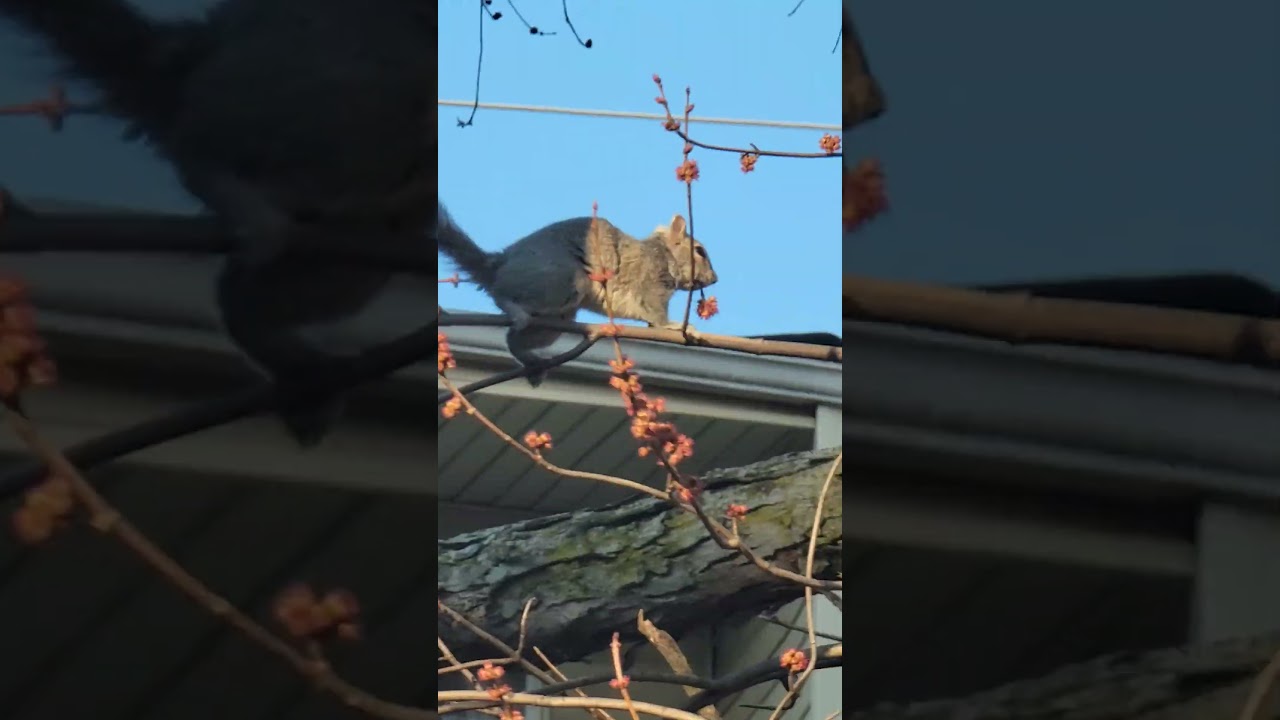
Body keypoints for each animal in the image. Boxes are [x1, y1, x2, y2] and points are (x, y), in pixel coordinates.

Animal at [0, 0, 434, 445]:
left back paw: (301, 368)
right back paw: (230, 188)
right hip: (333, 81)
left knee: (252, 292)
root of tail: (195, 51)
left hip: (357, 232)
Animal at [437, 203, 718, 385]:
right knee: (501, 295)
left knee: (513, 340)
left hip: (556, 320)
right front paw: (679, 326)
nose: (715, 279)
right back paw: (514, 310)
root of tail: (498, 266)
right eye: (699, 250)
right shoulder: (649, 286)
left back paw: (532, 363)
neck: (663, 254)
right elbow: (658, 316)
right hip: (561, 282)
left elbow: (653, 323)